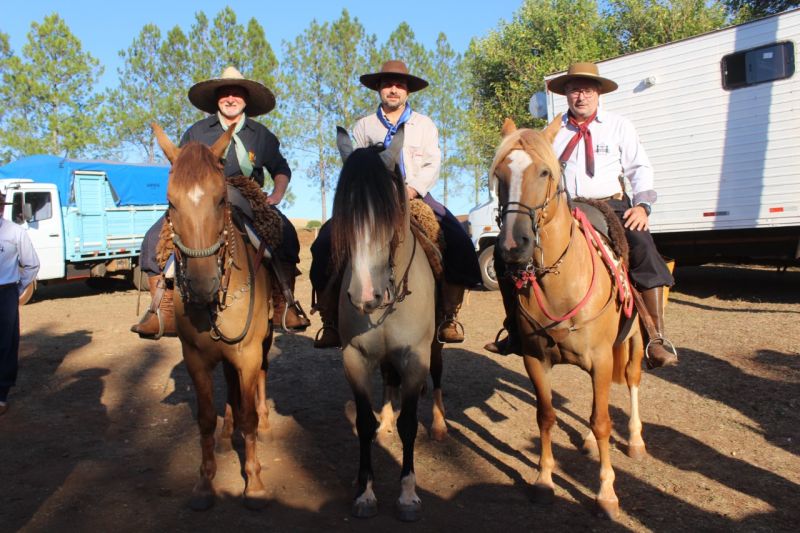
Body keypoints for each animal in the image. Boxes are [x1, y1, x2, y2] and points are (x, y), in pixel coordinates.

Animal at [152, 124, 273, 511]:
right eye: (170, 202)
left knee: (260, 378)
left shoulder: (248, 353)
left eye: (221, 200)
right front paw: (205, 483)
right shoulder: (196, 357)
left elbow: (250, 415)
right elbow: (205, 418)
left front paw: (255, 483)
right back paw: (225, 432)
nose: (203, 285)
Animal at [331, 127, 438, 521]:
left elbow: (410, 424)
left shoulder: (416, 357)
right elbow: (363, 423)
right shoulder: (355, 358)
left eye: (388, 215)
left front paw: (408, 495)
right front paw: (365, 492)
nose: (365, 296)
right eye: (345, 215)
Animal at [490, 116, 646, 520]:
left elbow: (604, 421)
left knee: (632, 382)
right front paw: (544, 480)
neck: (560, 283)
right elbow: (546, 416)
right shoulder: (535, 360)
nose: (512, 246)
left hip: (635, 342)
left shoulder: (603, 358)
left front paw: (606, 493)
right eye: (499, 174)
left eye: (544, 172)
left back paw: (636, 439)